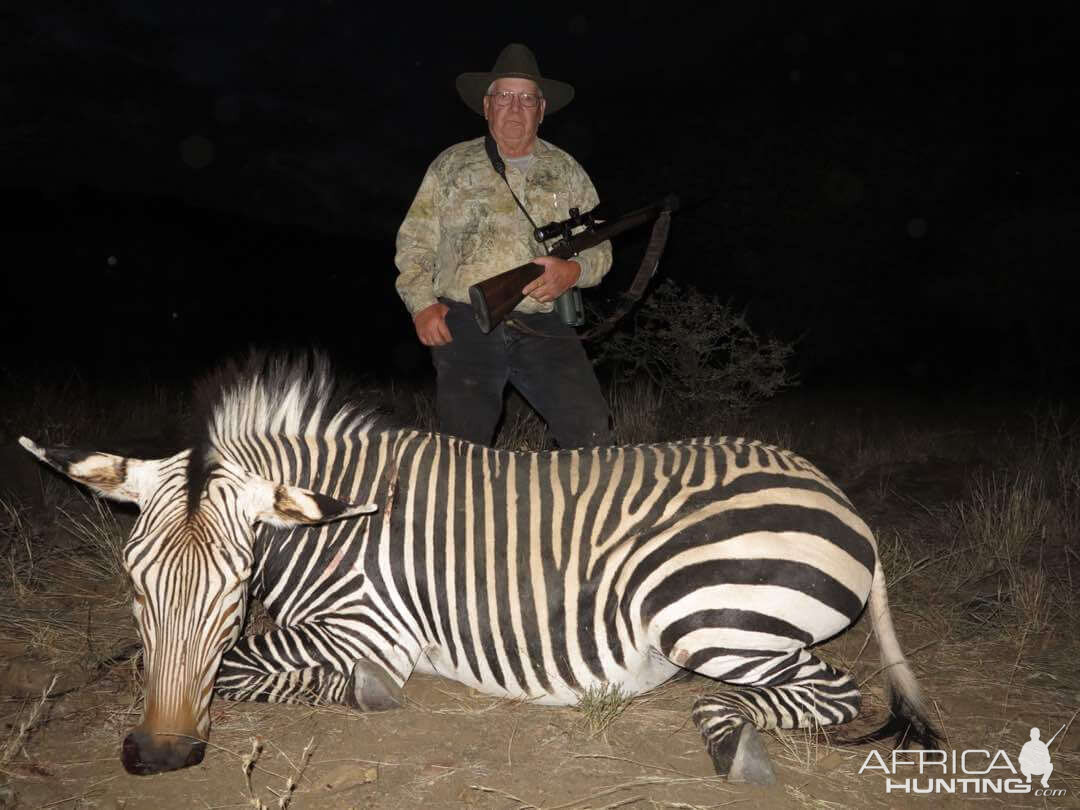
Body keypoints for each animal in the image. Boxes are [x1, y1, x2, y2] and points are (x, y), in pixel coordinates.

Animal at [21, 354, 941, 781]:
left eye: (233, 588)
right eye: (134, 587)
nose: (159, 757)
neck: (325, 528)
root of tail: (832, 489)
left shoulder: (366, 629)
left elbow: (252, 666)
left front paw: (364, 691)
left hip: (706, 612)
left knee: (827, 692)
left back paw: (729, 737)